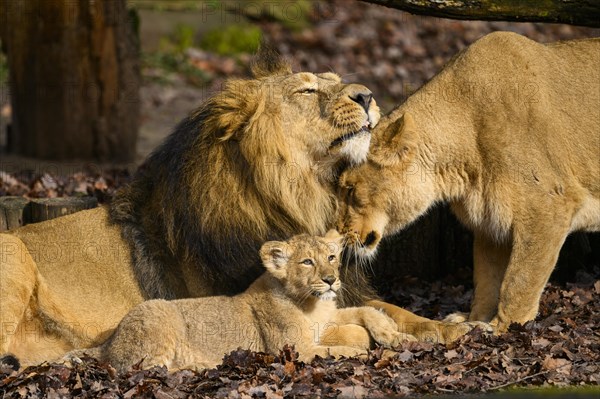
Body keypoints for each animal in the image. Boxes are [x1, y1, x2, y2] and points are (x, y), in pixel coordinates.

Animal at [65, 231, 412, 372]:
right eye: (307, 262)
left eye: (330, 258)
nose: (330, 280)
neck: (312, 303)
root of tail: (109, 342)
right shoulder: (297, 349)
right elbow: (336, 350)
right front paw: (364, 353)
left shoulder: (328, 317)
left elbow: (365, 310)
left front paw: (394, 335)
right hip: (158, 311)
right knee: (149, 368)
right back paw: (204, 364)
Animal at [340, 31, 596, 332]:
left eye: (349, 189)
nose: (337, 235)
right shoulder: (491, 221)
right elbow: (487, 279)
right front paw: (474, 319)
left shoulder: (550, 205)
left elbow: (518, 280)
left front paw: (499, 328)